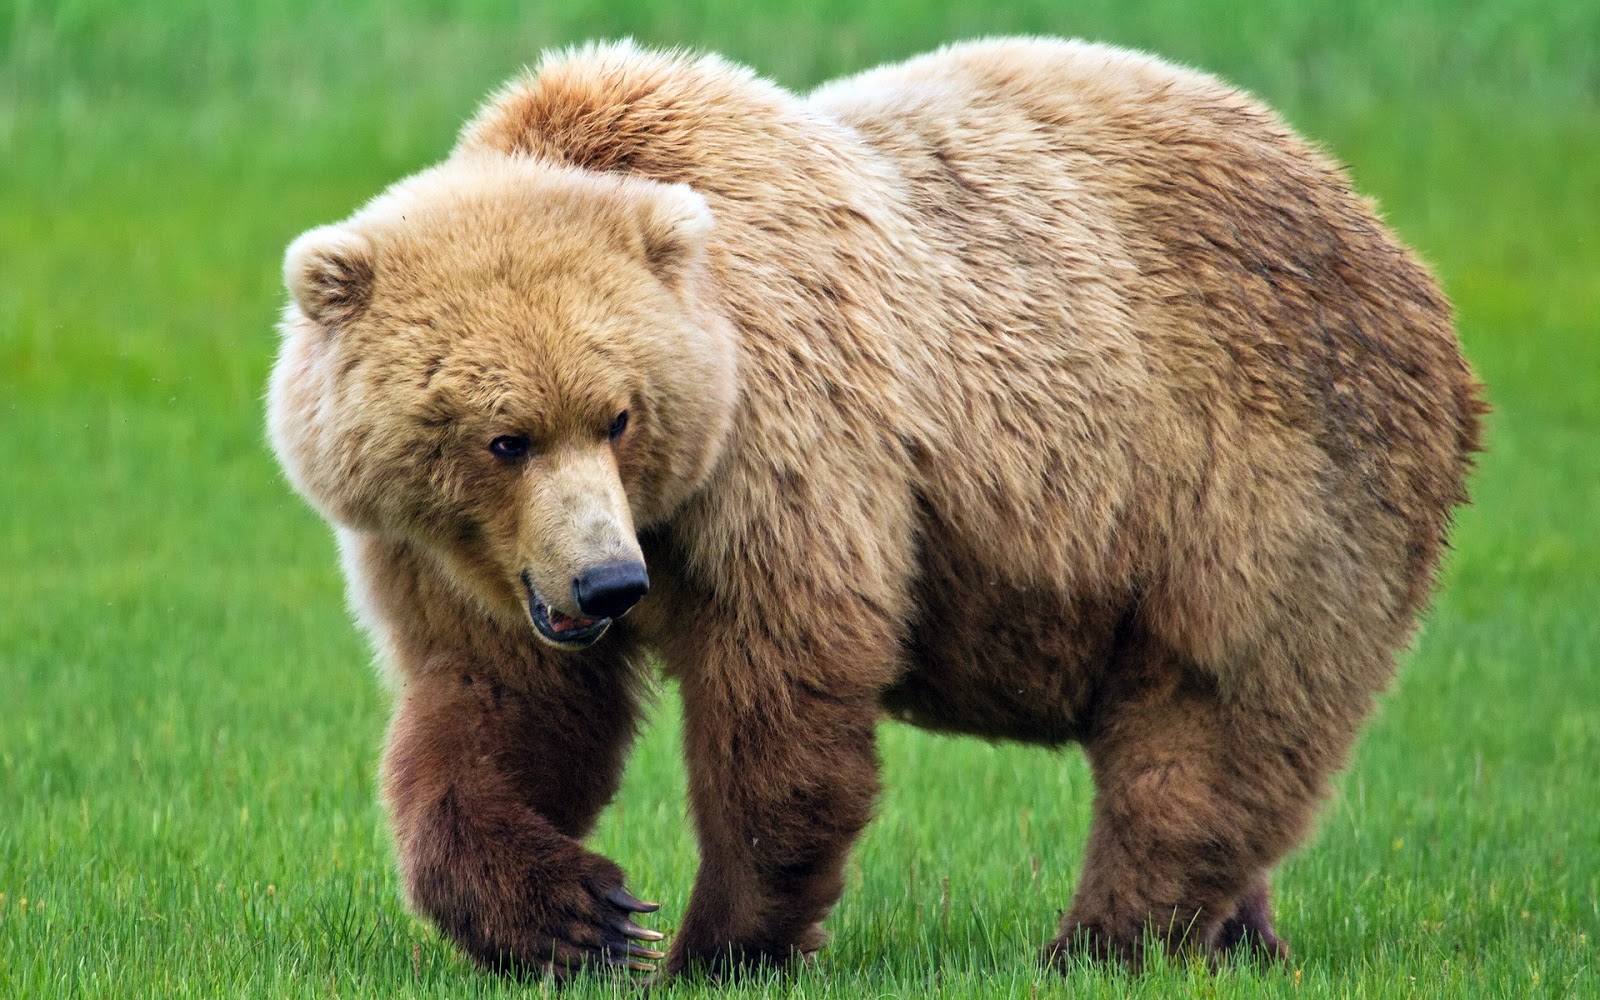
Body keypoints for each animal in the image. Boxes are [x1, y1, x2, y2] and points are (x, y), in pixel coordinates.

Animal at [267, 38, 1484, 980]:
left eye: (617, 415)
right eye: (503, 437)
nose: (610, 585)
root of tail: (1389, 240)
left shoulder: (787, 435)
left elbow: (784, 683)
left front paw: (715, 944)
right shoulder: (458, 555)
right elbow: (497, 709)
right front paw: (581, 914)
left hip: (1262, 471)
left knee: (1212, 713)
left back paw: (1103, 941)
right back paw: (1239, 936)